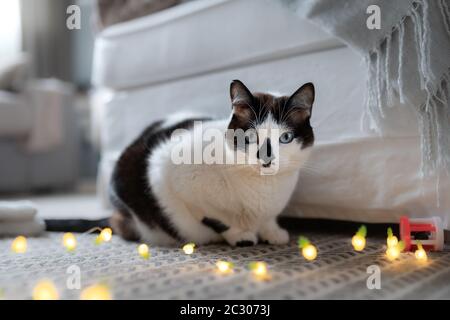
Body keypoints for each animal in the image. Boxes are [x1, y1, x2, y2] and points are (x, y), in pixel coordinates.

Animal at [110, 80, 314, 248]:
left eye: (285, 137)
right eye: (249, 136)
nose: (266, 158)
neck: (263, 188)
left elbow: (268, 219)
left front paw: (272, 232)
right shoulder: (175, 180)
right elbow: (217, 219)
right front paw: (241, 236)